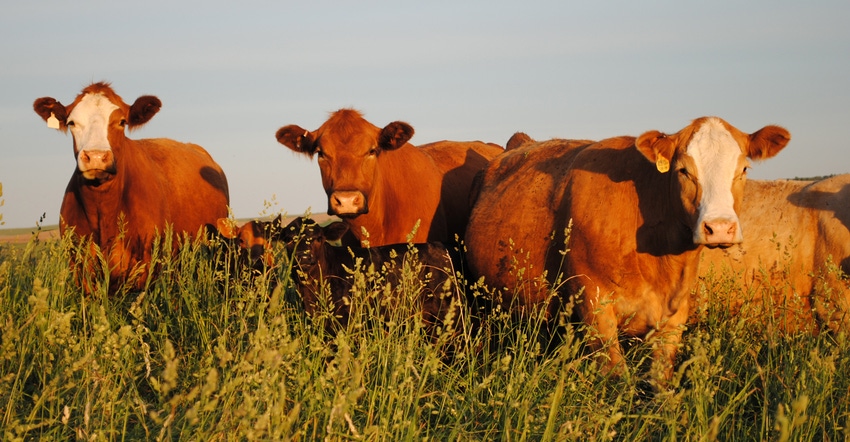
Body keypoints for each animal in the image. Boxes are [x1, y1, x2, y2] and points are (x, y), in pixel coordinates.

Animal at [33, 81, 229, 296]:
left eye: (121, 122)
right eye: (71, 123)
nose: (96, 156)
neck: (103, 210)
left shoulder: (147, 266)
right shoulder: (79, 267)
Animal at [464, 117, 788, 384]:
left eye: (743, 169)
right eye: (683, 170)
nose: (719, 227)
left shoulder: (674, 317)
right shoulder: (595, 307)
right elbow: (618, 379)